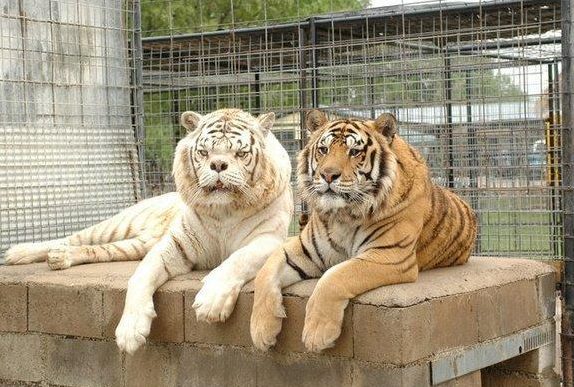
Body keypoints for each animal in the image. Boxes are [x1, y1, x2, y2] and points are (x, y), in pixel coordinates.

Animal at [2, 108, 294, 354]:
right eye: (204, 153)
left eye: (240, 154)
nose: (218, 166)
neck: (224, 212)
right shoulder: (173, 245)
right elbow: (140, 276)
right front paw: (130, 332)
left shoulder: (268, 240)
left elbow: (237, 260)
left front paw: (210, 302)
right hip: (118, 225)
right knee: (75, 236)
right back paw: (19, 252)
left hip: (133, 245)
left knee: (94, 249)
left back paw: (58, 258)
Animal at [250, 110, 480, 354]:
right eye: (324, 149)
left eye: (354, 152)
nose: (328, 175)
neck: (343, 215)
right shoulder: (303, 249)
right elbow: (265, 273)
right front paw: (261, 332)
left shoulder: (389, 255)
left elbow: (336, 276)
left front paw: (317, 334)